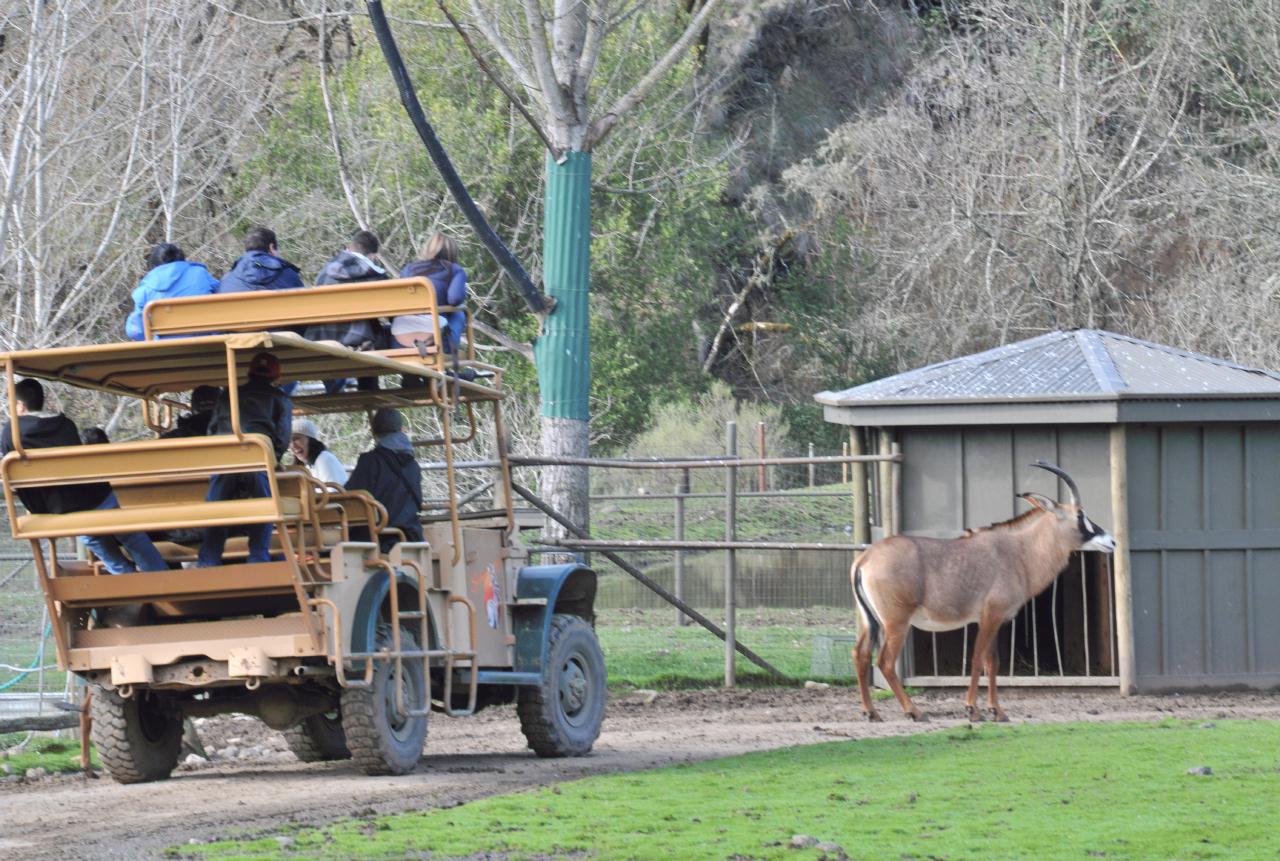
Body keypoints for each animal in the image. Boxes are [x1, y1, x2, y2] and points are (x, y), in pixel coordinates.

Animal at [855, 460, 1116, 721]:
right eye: (1080, 515)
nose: (1112, 541)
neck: (1019, 552)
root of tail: (865, 559)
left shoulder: (990, 619)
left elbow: (993, 662)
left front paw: (997, 711)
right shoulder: (992, 615)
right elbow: (978, 658)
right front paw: (973, 709)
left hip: (871, 621)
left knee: (860, 655)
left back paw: (871, 712)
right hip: (896, 622)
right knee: (885, 661)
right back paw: (914, 711)